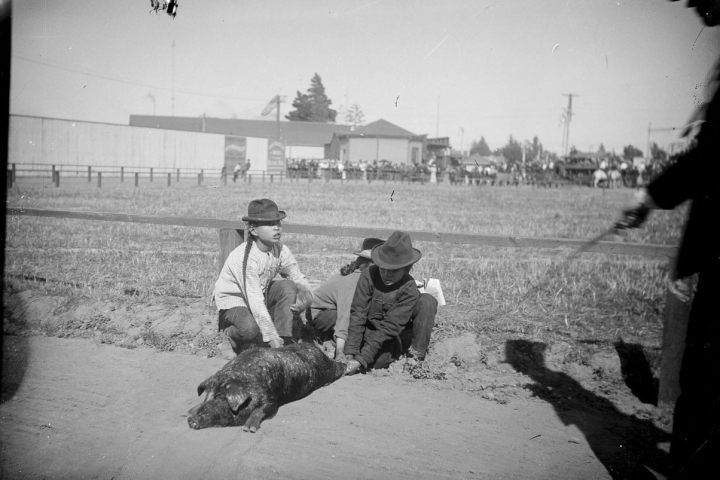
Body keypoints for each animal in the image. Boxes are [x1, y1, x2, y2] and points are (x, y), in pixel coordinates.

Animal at [187, 344, 348, 434]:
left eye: (221, 397)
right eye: (207, 396)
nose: (191, 420)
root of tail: (318, 349)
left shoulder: (271, 398)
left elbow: (262, 409)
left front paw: (249, 429)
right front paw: (188, 411)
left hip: (328, 369)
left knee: (339, 367)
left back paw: (347, 366)